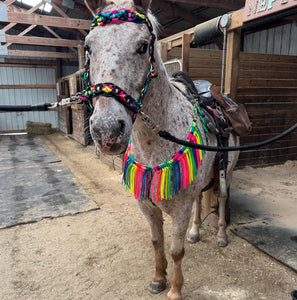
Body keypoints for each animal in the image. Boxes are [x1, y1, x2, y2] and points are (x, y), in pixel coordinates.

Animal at [82, 1, 238, 298]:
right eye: (88, 47)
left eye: (143, 46)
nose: (106, 130)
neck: (155, 142)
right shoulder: (146, 204)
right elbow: (156, 242)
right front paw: (157, 278)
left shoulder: (180, 207)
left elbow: (176, 250)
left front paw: (175, 289)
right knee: (201, 200)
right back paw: (195, 231)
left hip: (228, 170)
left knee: (222, 198)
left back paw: (222, 235)